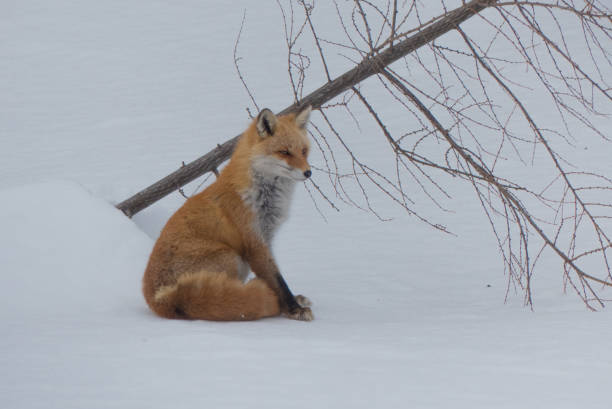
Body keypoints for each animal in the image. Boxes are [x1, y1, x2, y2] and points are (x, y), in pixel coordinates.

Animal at [144, 106, 316, 322]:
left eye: (303, 151)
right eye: (284, 152)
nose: (308, 173)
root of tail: (160, 300)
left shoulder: (267, 236)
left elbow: (274, 275)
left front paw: (293, 302)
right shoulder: (254, 242)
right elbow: (277, 280)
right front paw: (293, 308)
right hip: (232, 257)